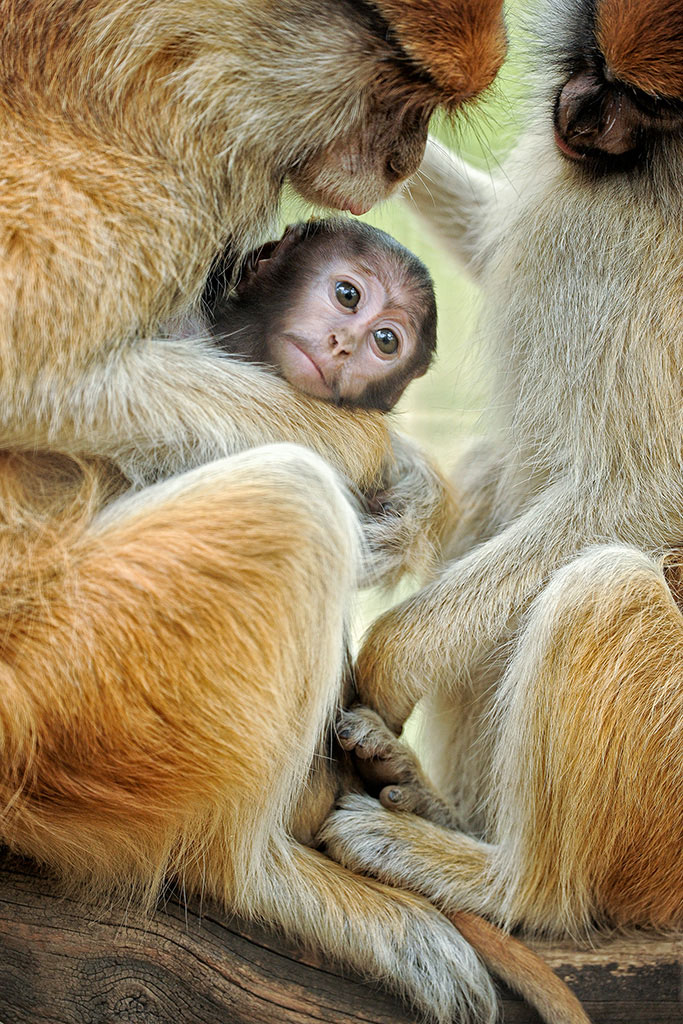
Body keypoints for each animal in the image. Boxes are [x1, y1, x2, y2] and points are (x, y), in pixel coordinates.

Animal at [320, 0, 683, 950]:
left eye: (648, 104)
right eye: (594, 61)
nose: (580, 115)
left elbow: (647, 489)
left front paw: (387, 665)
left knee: (602, 586)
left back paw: (504, 883)